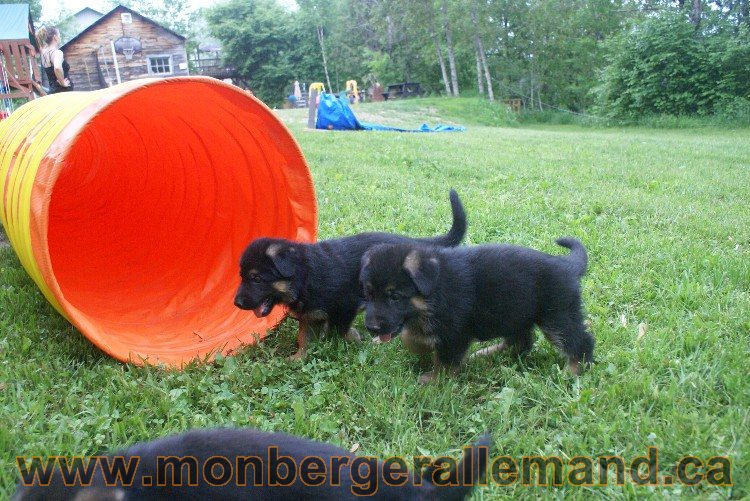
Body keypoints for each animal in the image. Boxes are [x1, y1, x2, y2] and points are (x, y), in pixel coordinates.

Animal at [236, 189, 470, 358]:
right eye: (242, 276)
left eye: (256, 278)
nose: (236, 303)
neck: (304, 275)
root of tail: (413, 243)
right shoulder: (310, 315)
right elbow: (304, 338)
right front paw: (298, 358)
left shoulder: (345, 305)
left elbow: (340, 330)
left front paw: (353, 341)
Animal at [362, 236, 596, 380]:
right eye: (369, 294)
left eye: (394, 296)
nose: (371, 328)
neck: (437, 285)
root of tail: (567, 266)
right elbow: (410, 337)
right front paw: (421, 347)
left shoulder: (456, 334)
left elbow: (445, 362)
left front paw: (434, 381)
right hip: (515, 312)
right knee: (521, 342)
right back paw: (487, 353)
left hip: (557, 316)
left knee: (580, 342)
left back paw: (571, 372)